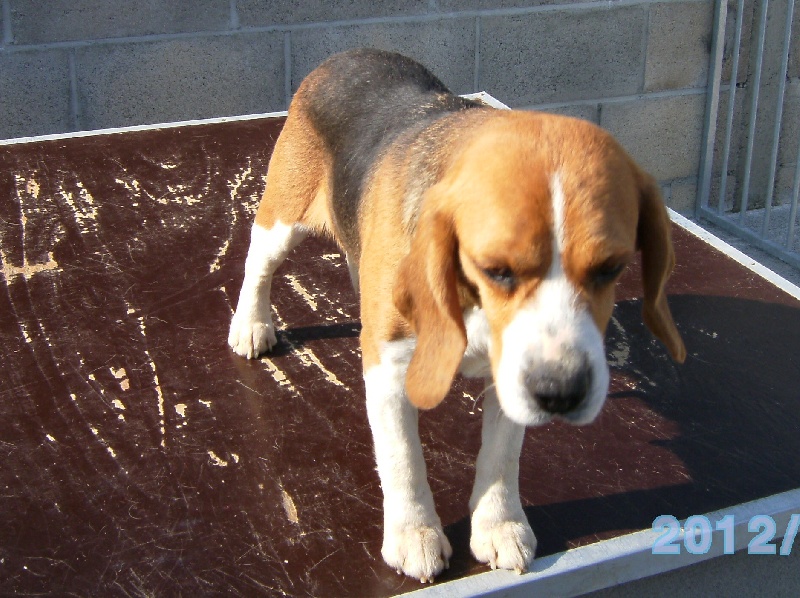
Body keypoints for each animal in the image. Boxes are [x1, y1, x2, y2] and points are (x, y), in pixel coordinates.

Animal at [228, 49, 684, 584]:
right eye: (497, 270)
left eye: (611, 268)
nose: (561, 394)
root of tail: (349, 54)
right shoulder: (390, 367)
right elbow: (404, 460)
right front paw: (414, 533)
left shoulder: (511, 373)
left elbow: (501, 457)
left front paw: (499, 525)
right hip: (283, 215)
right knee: (258, 263)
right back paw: (251, 324)